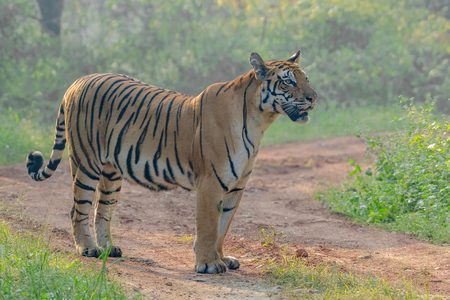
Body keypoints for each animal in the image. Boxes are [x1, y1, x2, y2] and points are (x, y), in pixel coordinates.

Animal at [26, 49, 316, 274]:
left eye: (306, 78)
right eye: (288, 82)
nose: (314, 98)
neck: (261, 120)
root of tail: (77, 82)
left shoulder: (236, 187)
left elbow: (223, 227)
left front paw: (222, 258)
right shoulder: (211, 182)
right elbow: (208, 226)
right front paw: (208, 264)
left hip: (111, 173)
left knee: (102, 209)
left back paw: (108, 248)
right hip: (86, 163)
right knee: (78, 208)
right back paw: (87, 249)